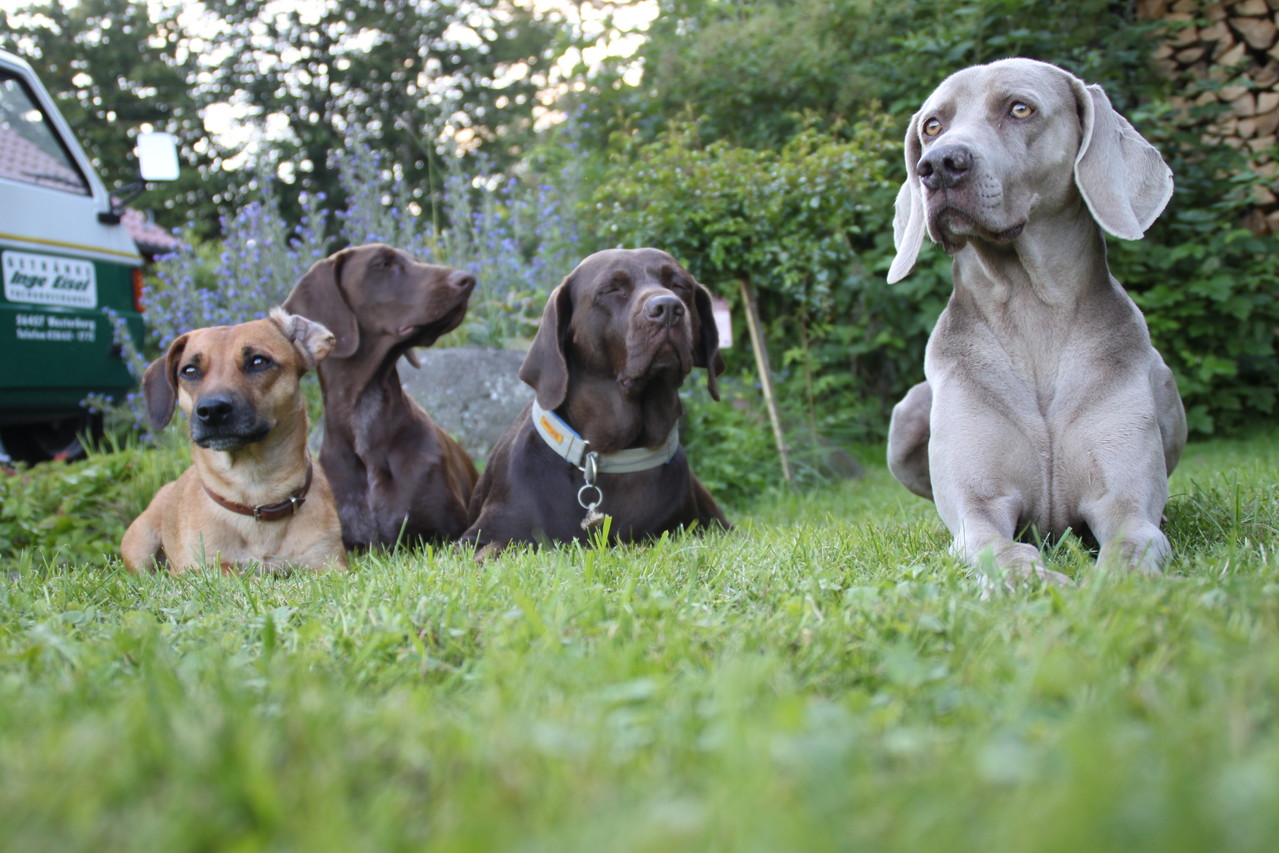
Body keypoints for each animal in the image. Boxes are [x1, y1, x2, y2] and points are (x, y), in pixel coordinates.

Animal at [120, 306, 347, 572]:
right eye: (189, 370)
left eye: (258, 361)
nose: (212, 410)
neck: (255, 494)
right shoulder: (198, 568)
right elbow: (228, 569)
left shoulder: (328, 563)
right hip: (140, 542)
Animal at [465, 248, 731, 555]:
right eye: (612, 289)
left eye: (680, 285)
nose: (667, 308)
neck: (611, 455)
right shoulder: (479, 537)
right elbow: (497, 549)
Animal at [885, 56, 1181, 583]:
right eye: (932, 125)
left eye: (1020, 108)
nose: (937, 165)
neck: (1030, 311)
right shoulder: (978, 509)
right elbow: (1001, 549)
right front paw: (1033, 583)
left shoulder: (1125, 503)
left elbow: (1132, 543)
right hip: (908, 413)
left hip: (1164, 379)